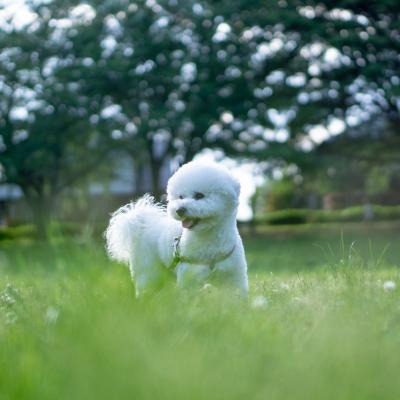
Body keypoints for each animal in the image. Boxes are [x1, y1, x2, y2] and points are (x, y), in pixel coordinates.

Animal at [105, 160, 250, 296]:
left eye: (199, 195)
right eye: (181, 196)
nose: (180, 210)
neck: (209, 240)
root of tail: (142, 224)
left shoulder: (234, 277)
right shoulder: (189, 279)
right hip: (148, 270)